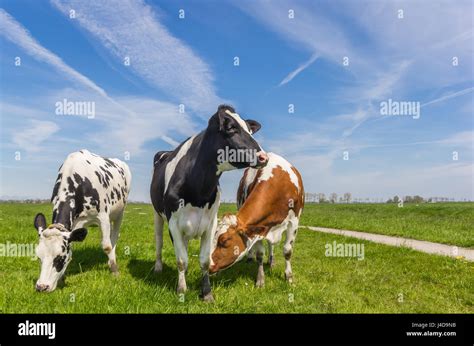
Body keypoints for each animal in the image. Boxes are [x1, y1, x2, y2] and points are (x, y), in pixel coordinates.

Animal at [33, 149, 131, 292]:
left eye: (60, 259)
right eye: (39, 257)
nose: (41, 287)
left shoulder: (103, 216)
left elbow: (107, 247)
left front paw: (115, 271)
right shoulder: (72, 225)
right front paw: (62, 278)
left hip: (119, 212)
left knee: (114, 237)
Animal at [151, 104, 266, 300]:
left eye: (250, 130)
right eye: (231, 128)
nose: (263, 157)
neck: (199, 191)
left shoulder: (210, 223)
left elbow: (204, 260)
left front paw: (206, 293)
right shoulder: (173, 223)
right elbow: (181, 260)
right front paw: (181, 289)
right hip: (158, 216)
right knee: (159, 242)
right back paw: (158, 267)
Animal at [210, 152, 304, 286]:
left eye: (224, 241)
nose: (206, 265)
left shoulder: (294, 222)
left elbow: (287, 251)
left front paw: (289, 277)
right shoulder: (257, 227)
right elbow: (259, 253)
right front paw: (260, 279)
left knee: (271, 245)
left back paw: (271, 261)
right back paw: (250, 257)